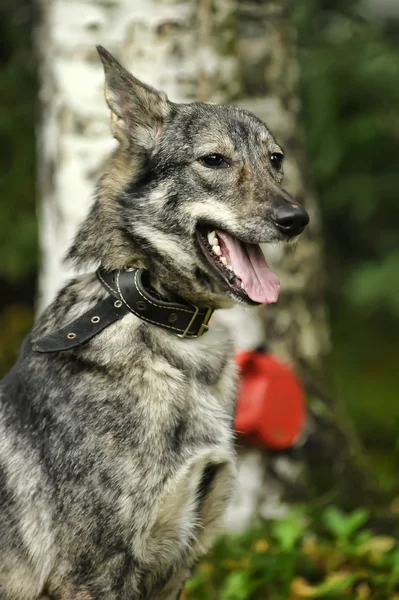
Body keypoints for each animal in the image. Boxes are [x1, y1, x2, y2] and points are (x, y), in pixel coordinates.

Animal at [0, 48, 310, 600]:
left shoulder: (178, 560)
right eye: (214, 160)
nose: (296, 219)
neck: (165, 328)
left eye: (275, 160)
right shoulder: (93, 571)